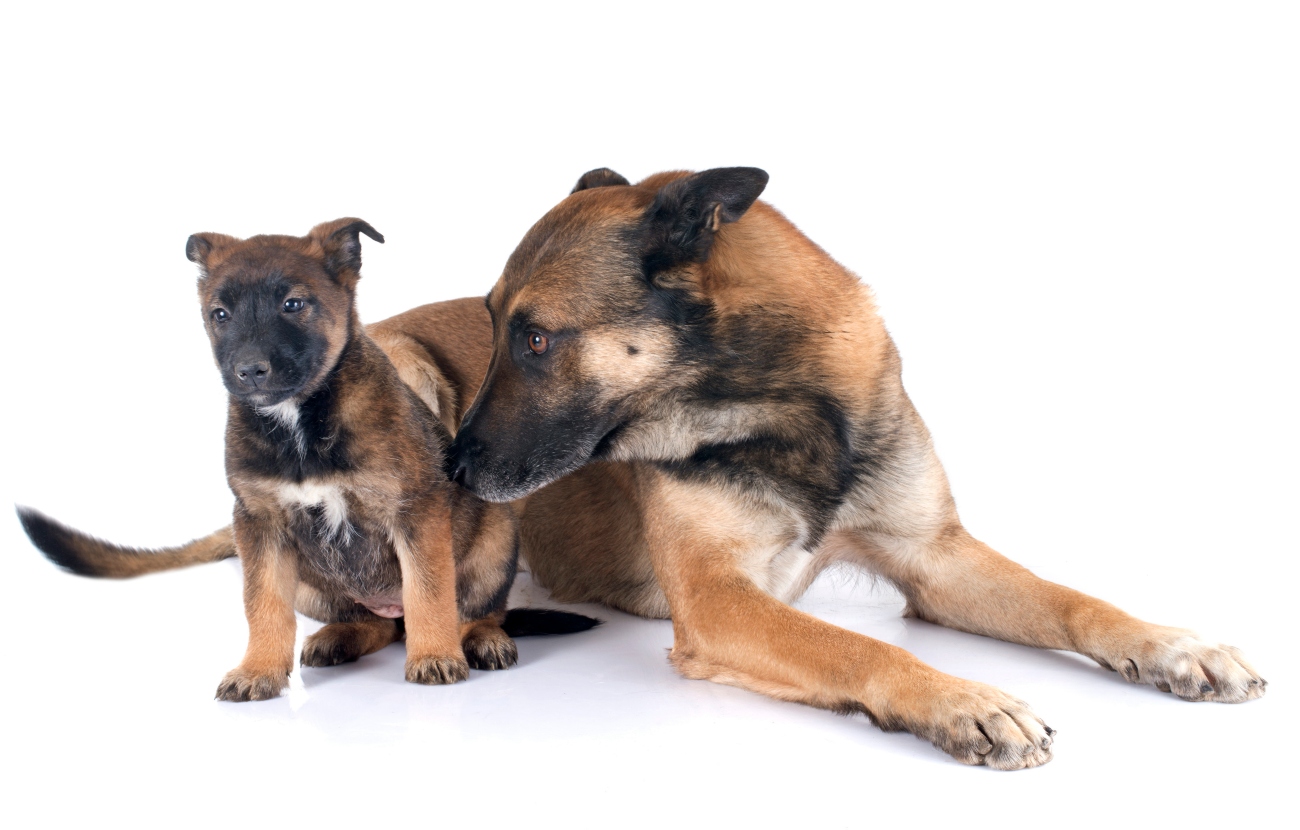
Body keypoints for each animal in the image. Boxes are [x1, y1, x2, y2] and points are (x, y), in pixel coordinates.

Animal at [16, 219, 595, 702]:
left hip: (495, 537)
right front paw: (258, 671)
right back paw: (341, 638)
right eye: (219, 315)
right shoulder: (260, 527)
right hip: (312, 584)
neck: (300, 424)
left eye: (294, 305)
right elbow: (262, 607)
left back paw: (478, 639)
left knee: (474, 609)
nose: (250, 371)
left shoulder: (416, 512)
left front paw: (434, 656)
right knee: (378, 624)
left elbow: (430, 592)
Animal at [449, 169, 1268, 775]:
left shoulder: (934, 559)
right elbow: (856, 645)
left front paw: (1173, 645)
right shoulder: (716, 600)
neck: (782, 404)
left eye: (536, 339)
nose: (453, 466)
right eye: (503, 330)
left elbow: (1073, 601)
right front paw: (958, 699)